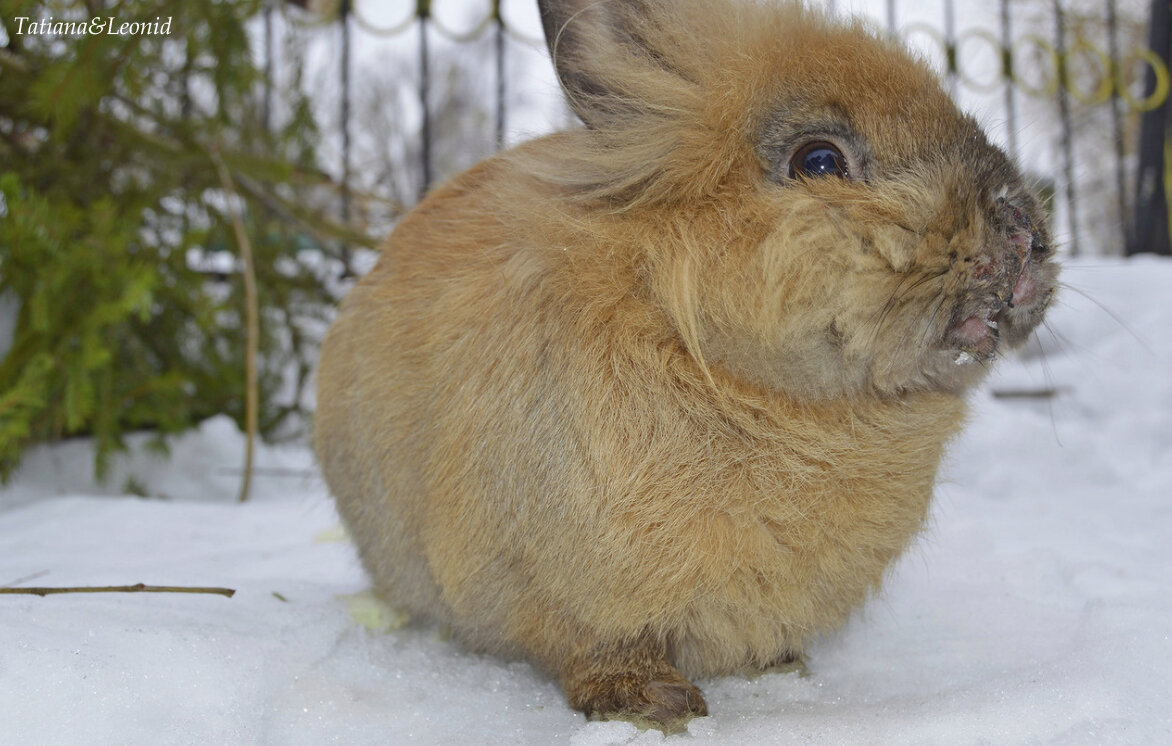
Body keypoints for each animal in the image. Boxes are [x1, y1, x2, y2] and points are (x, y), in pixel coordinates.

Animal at [314, 0, 1064, 726]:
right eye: (819, 162)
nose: (1022, 233)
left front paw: (782, 667)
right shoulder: (573, 598)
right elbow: (602, 651)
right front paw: (656, 707)